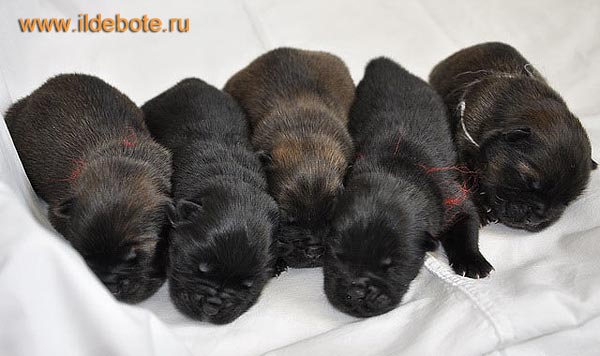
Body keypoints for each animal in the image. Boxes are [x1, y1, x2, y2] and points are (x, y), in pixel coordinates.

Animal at [326, 57, 494, 318]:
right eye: (336, 255)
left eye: (391, 266)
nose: (356, 292)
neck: (396, 169)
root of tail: (386, 64)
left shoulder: (452, 201)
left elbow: (466, 227)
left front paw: (472, 262)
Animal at [432, 42, 596, 231]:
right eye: (527, 180)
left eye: (566, 201)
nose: (537, 218)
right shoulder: (463, 145)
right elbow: (467, 178)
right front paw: (480, 208)